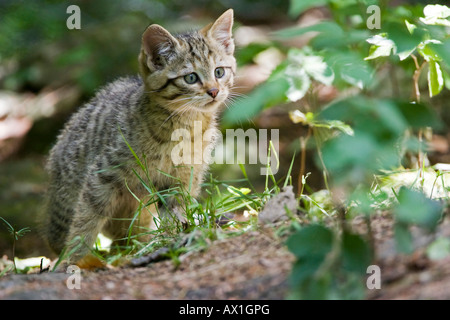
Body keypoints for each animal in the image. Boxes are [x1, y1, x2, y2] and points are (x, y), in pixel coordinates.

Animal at [43, 10, 236, 264]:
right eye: (191, 78)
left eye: (219, 72)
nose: (214, 91)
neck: (186, 127)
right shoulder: (102, 175)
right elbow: (86, 220)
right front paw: (75, 259)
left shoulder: (182, 181)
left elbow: (175, 215)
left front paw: (173, 239)